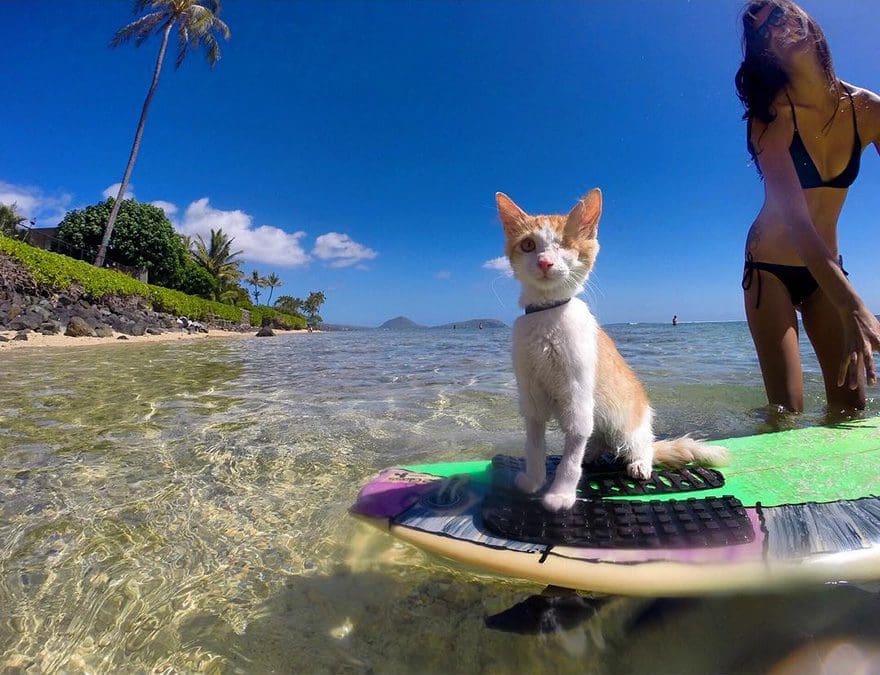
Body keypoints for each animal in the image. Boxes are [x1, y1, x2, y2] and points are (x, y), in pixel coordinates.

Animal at [496, 190, 728, 512]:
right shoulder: (531, 396)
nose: (544, 262)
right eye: (528, 245)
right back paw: (593, 452)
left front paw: (561, 494)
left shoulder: (578, 396)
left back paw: (639, 462)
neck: (547, 316)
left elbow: (571, 456)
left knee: (641, 447)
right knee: (597, 441)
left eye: (565, 245)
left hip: (629, 426)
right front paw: (533, 480)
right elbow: (533, 445)